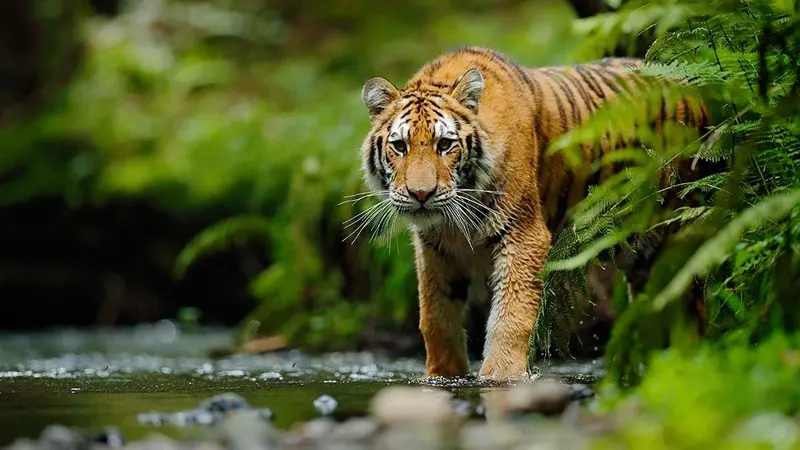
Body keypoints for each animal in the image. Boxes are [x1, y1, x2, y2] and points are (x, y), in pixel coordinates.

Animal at [356, 46, 711, 381]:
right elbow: (435, 318)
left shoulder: (523, 234)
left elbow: (510, 317)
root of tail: (695, 91)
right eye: (400, 146)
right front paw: (444, 376)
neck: (454, 222)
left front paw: (501, 377)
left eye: (444, 144)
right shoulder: (436, 250)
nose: (421, 195)